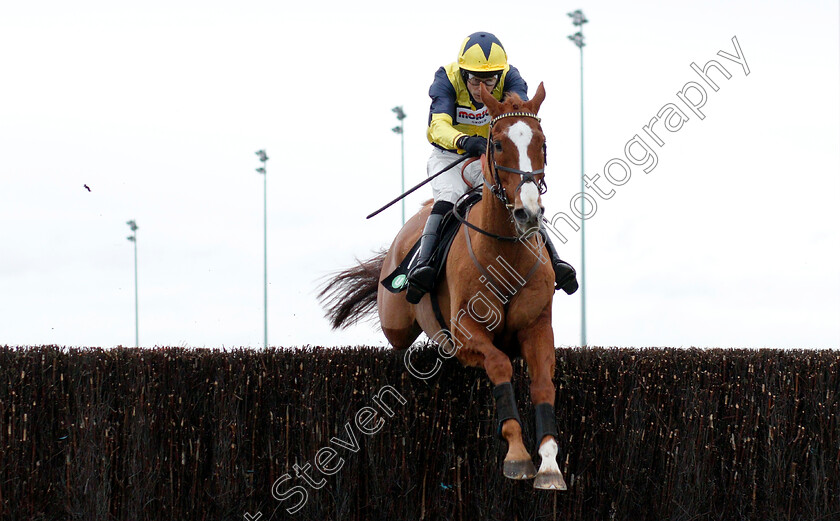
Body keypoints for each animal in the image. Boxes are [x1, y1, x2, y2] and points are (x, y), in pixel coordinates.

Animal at [318, 83, 568, 490]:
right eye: (498, 144)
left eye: (542, 143)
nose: (528, 212)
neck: (505, 254)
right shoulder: (465, 335)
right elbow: (499, 364)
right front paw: (517, 455)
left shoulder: (537, 327)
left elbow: (544, 384)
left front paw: (548, 463)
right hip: (396, 324)